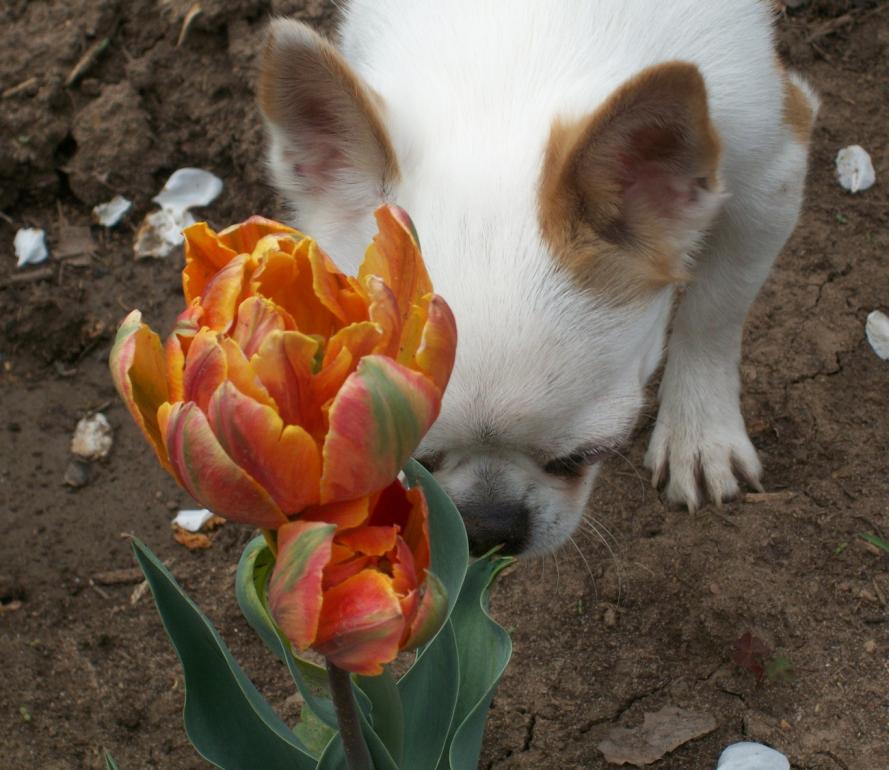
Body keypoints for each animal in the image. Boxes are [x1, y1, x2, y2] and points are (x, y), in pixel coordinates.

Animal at [257, 0, 818, 557]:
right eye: (414, 459)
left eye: (585, 455)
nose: (488, 527)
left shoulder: (773, 171)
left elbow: (714, 315)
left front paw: (699, 432)